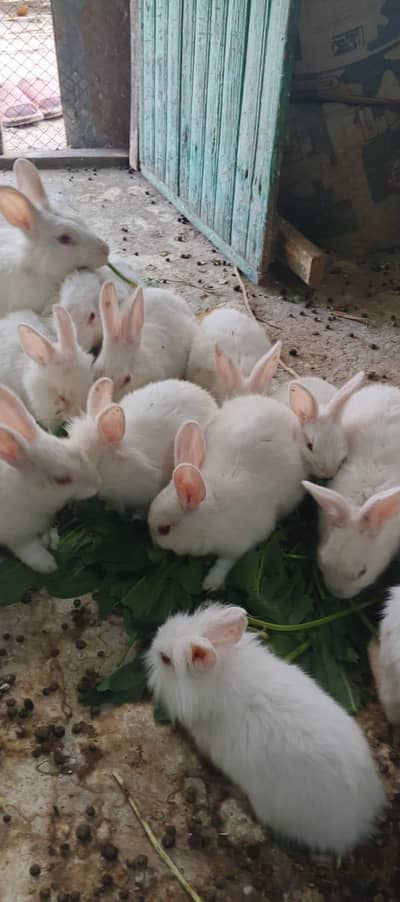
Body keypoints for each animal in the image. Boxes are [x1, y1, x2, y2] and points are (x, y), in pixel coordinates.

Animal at [0, 384, 100, 572]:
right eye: (61, 479)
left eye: (76, 452)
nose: (97, 484)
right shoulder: (17, 535)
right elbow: (29, 550)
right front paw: (48, 565)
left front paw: (52, 539)